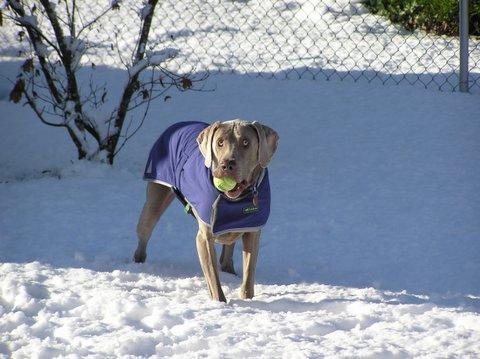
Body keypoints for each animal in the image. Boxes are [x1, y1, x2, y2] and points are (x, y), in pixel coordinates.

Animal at [134, 119, 278, 302]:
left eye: (246, 142)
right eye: (220, 142)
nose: (226, 164)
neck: (235, 200)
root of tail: (177, 124)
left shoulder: (252, 232)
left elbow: (248, 274)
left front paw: (247, 299)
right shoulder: (204, 237)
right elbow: (213, 277)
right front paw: (220, 303)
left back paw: (230, 270)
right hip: (155, 198)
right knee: (145, 230)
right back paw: (139, 262)